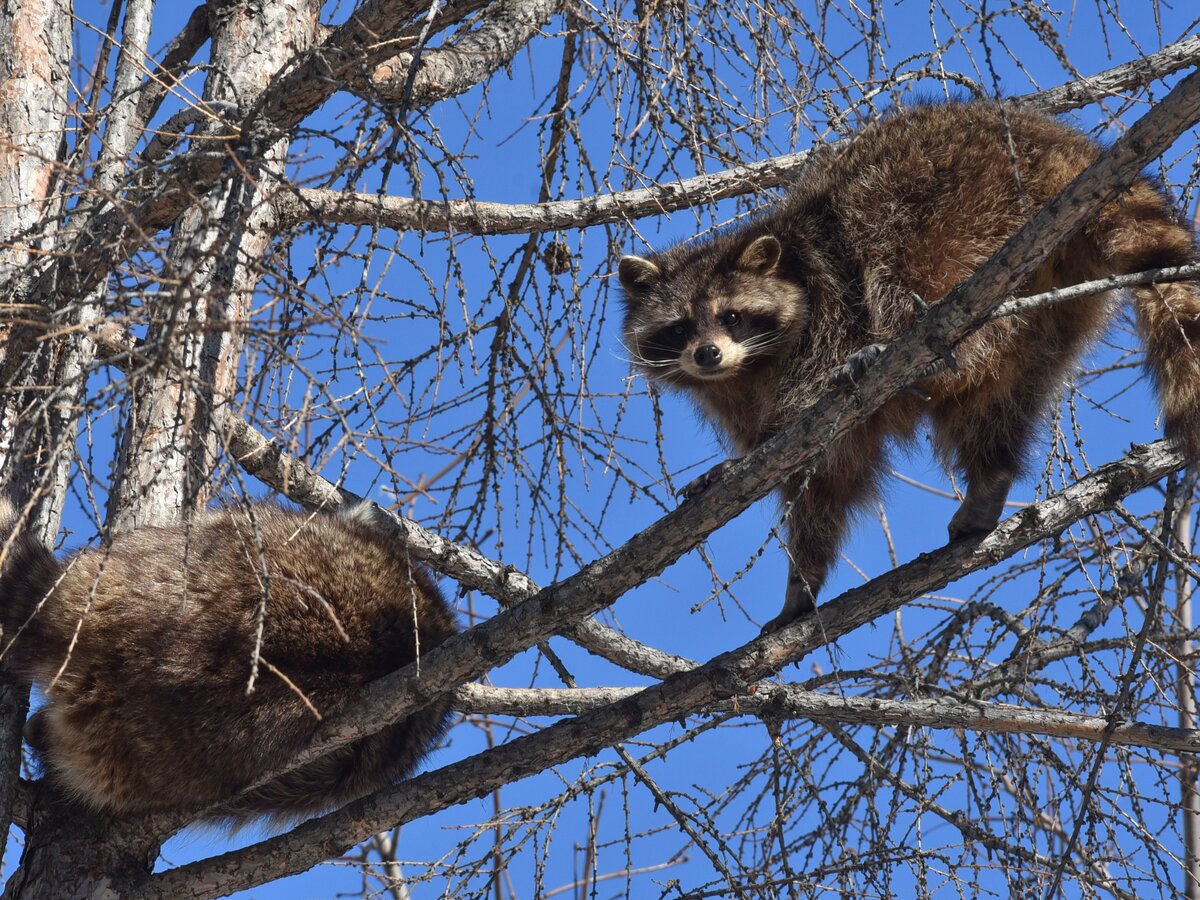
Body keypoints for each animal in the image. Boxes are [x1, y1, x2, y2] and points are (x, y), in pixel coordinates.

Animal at [619, 100, 1200, 633]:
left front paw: (744, 462)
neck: (751, 366)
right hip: (1056, 301)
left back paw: (912, 346)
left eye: (732, 317)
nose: (708, 354)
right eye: (680, 329)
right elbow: (824, 483)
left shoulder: (827, 315)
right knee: (999, 397)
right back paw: (991, 475)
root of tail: (1066, 147)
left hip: (965, 200)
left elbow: (813, 436)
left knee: (895, 258)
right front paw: (802, 580)